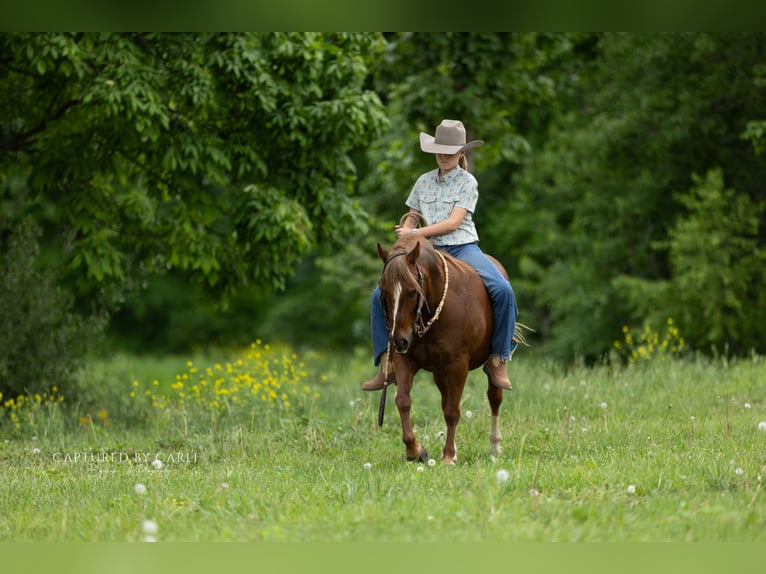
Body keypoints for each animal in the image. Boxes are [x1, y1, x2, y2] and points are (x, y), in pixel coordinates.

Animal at [375, 230, 526, 465]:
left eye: (412, 291)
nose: (399, 341)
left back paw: (495, 446)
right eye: (383, 291)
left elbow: (452, 411)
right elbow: (403, 401)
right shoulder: (405, 360)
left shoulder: (457, 365)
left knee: (494, 398)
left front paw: (447, 457)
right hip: (439, 371)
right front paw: (415, 451)